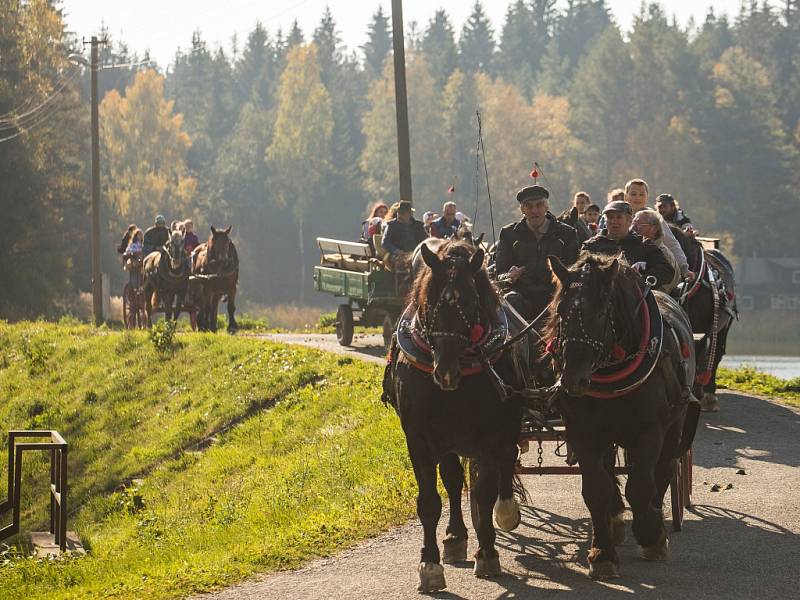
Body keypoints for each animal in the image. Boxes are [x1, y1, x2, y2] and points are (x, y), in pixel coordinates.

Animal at [386, 239, 528, 592]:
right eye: (429, 301)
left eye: (471, 301)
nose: (445, 372)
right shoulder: (418, 438)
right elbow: (429, 501)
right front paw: (430, 565)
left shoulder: (492, 432)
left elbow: (485, 494)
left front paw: (488, 554)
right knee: (452, 480)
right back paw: (455, 536)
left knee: (505, 463)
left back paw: (505, 512)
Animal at [548, 254, 696, 580]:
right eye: (561, 309)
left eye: (602, 311)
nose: (573, 380)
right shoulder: (583, 433)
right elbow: (596, 489)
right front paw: (602, 553)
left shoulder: (649, 432)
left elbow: (640, 487)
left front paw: (652, 537)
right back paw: (615, 521)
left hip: (675, 426)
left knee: (664, 470)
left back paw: (655, 518)